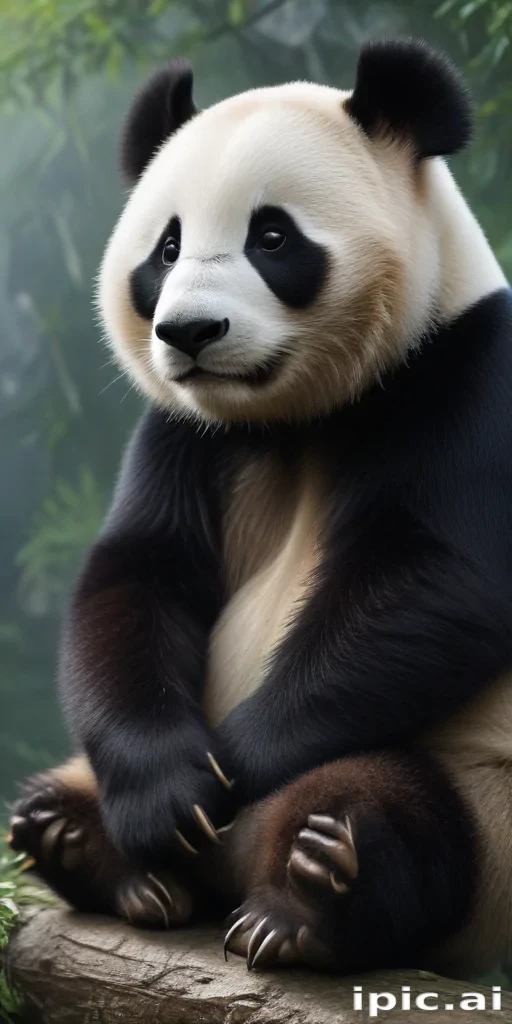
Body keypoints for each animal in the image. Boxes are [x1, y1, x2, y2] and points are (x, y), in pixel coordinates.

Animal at [9, 37, 512, 977]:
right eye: (167, 247)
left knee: (394, 813)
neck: (298, 414)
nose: (189, 333)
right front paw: (169, 797)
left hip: (487, 810)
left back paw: (317, 887)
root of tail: (231, 879)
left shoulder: (471, 374)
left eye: (272, 236)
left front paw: (233, 766)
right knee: (52, 795)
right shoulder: (183, 432)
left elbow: (439, 579)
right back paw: (91, 849)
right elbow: (137, 572)